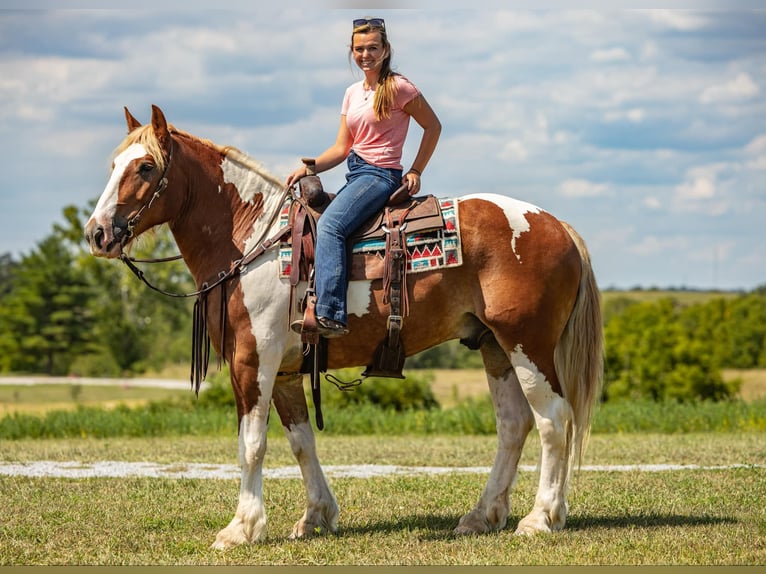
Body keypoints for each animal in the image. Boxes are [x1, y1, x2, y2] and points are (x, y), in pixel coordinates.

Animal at [84, 105, 603, 548]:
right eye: (113, 164)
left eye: (145, 168)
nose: (97, 233)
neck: (251, 239)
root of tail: (557, 225)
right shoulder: (286, 371)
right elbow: (301, 443)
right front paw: (316, 515)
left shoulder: (253, 360)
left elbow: (251, 445)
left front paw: (242, 527)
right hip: (495, 347)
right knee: (513, 425)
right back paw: (482, 515)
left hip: (527, 345)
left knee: (553, 421)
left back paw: (541, 518)